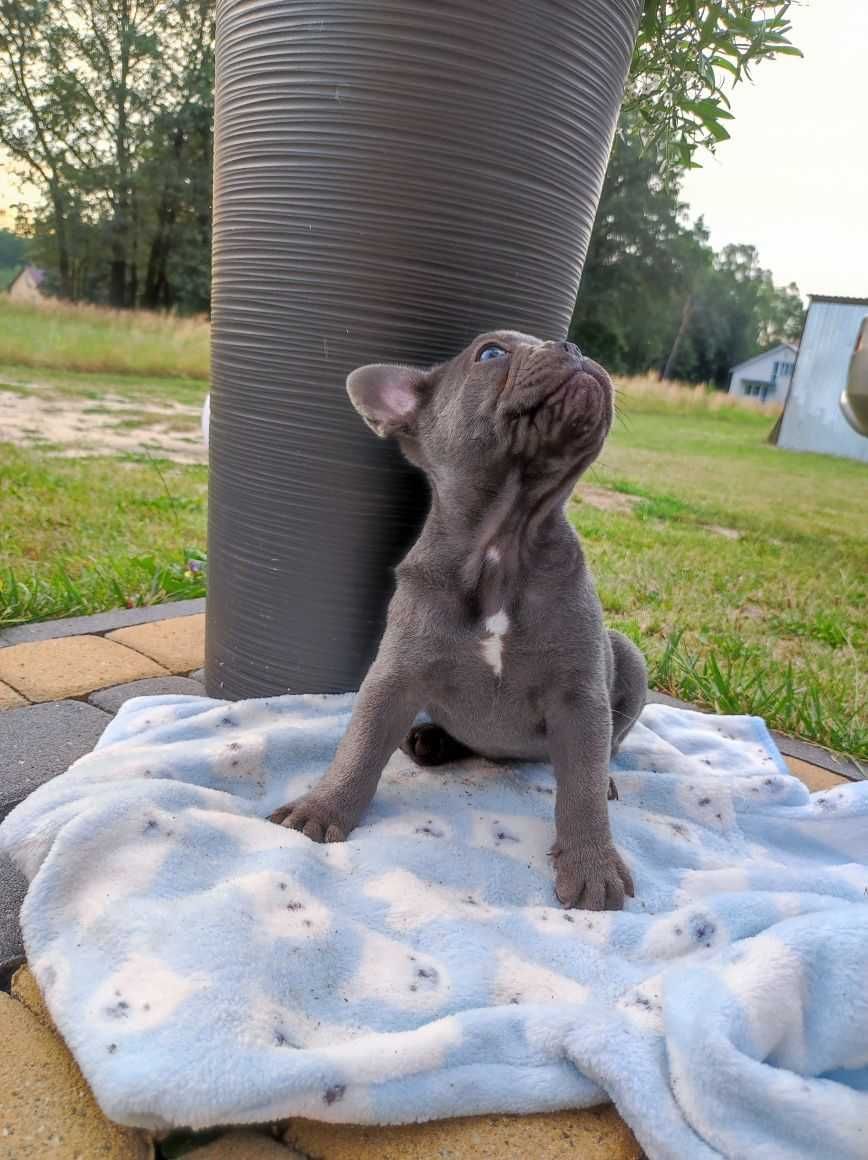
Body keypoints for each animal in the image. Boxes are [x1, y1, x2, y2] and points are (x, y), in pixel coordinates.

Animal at [269, 331, 645, 909]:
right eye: (491, 353)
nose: (573, 344)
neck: (505, 540)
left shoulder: (581, 696)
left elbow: (580, 791)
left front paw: (591, 866)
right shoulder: (395, 676)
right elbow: (360, 745)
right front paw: (322, 808)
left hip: (629, 654)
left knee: (610, 745)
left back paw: (604, 774)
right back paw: (433, 741)